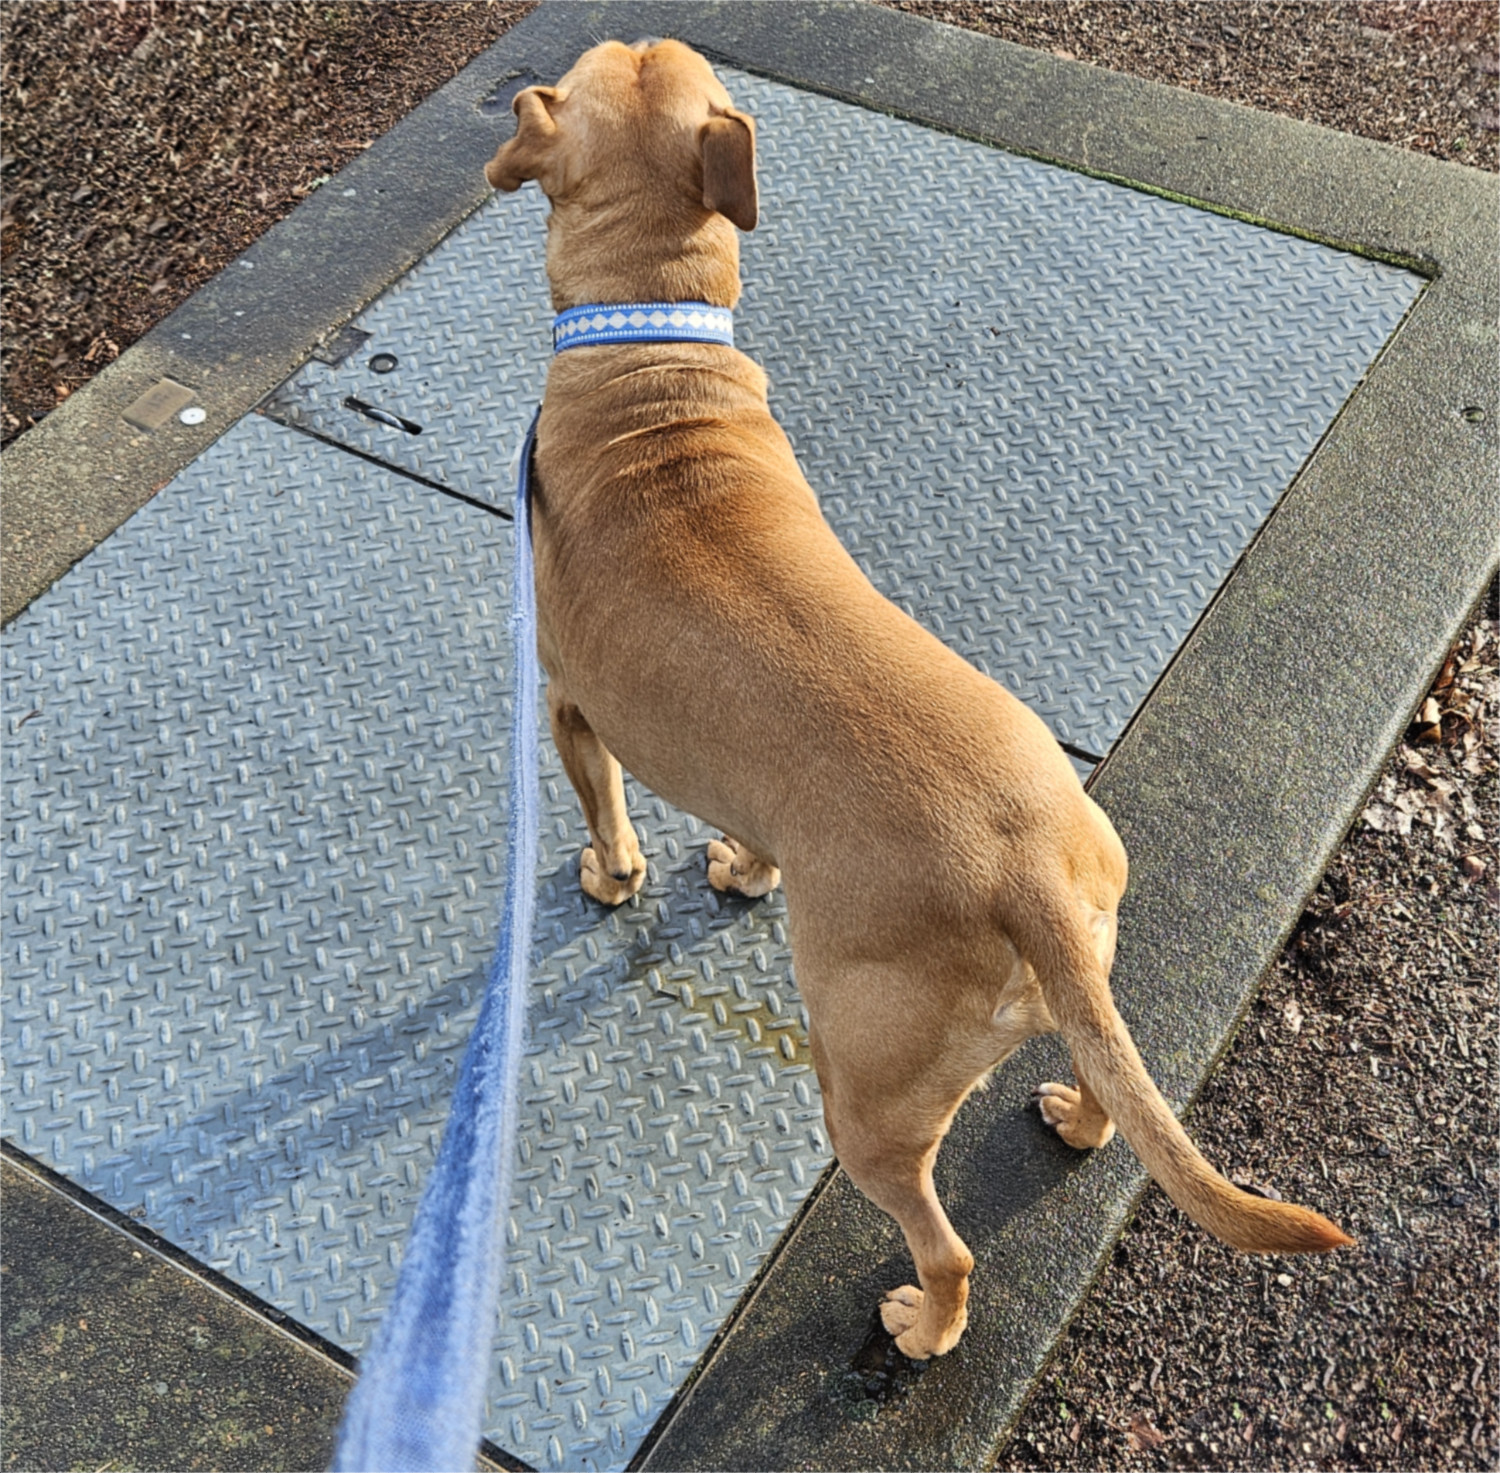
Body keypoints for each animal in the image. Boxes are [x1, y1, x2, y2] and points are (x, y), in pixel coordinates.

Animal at [486, 40, 1356, 1368]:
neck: (651, 353)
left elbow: (608, 818)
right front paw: (742, 871)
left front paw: (611, 877)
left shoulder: (574, 714)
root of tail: (1024, 879)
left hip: (867, 1098)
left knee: (945, 1245)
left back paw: (923, 1325)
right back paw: (1074, 1121)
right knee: (1114, 1093)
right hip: (1083, 975)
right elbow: (744, 833)